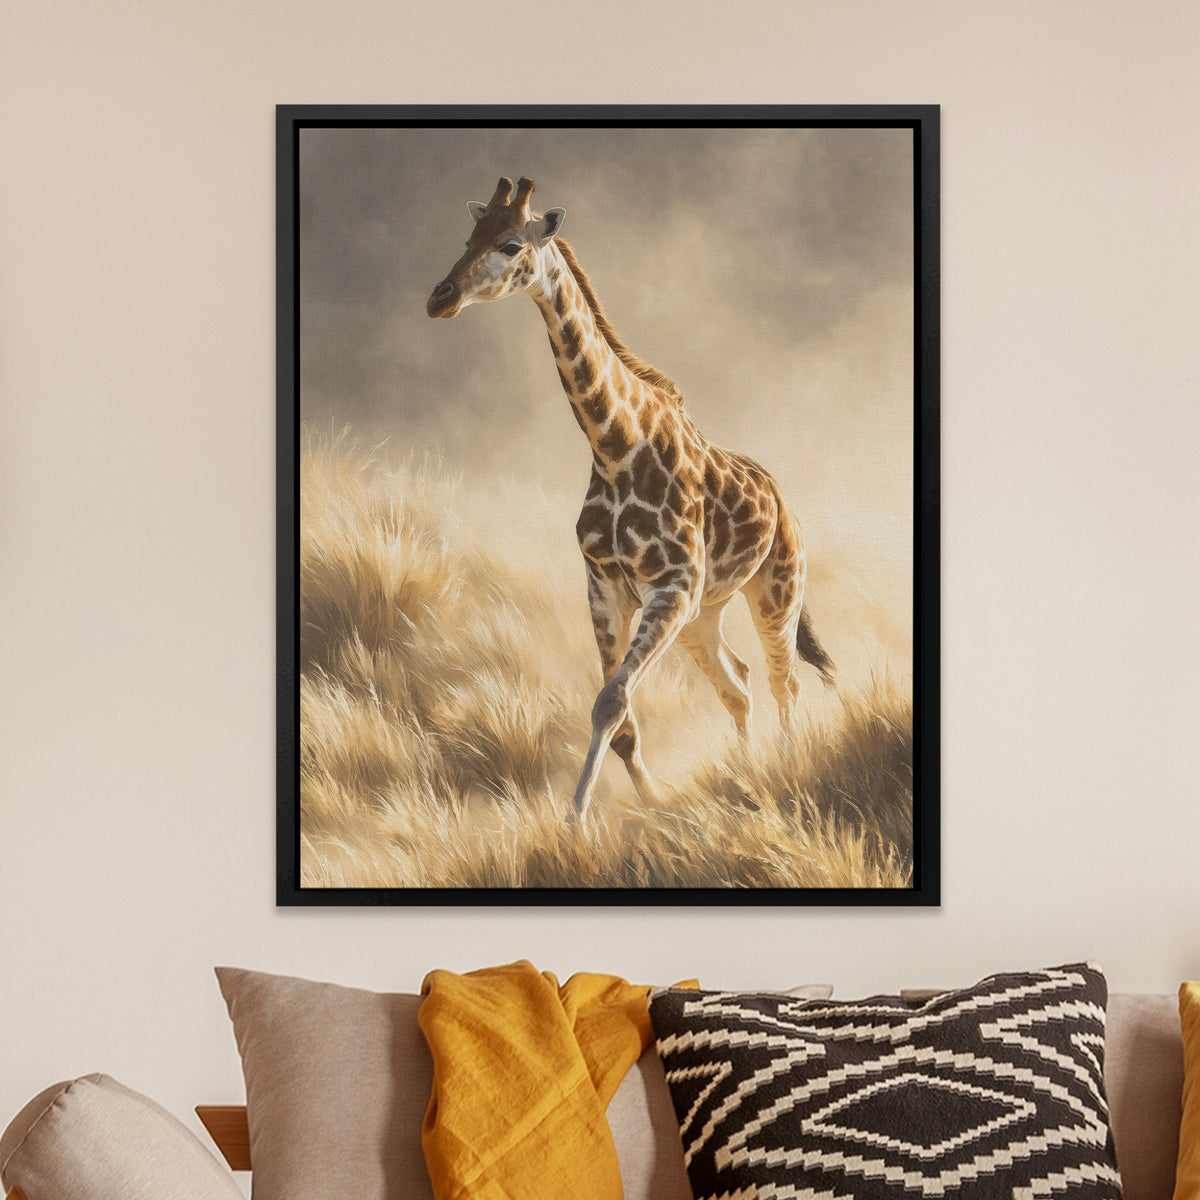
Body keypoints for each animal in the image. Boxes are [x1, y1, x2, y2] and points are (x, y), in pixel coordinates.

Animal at [427, 176, 834, 823]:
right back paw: (744, 771)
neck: (616, 448)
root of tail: (783, 500)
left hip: (775, 591)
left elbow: (611, 701)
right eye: (469, 237)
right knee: (739, 685)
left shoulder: (670, 588)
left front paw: (575, 821)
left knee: (782, 681)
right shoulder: (607, 587)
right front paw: (651, 807)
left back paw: (786, 768)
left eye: (511, 244)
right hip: (704, 614)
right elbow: (618, 720)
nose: (439, 298)